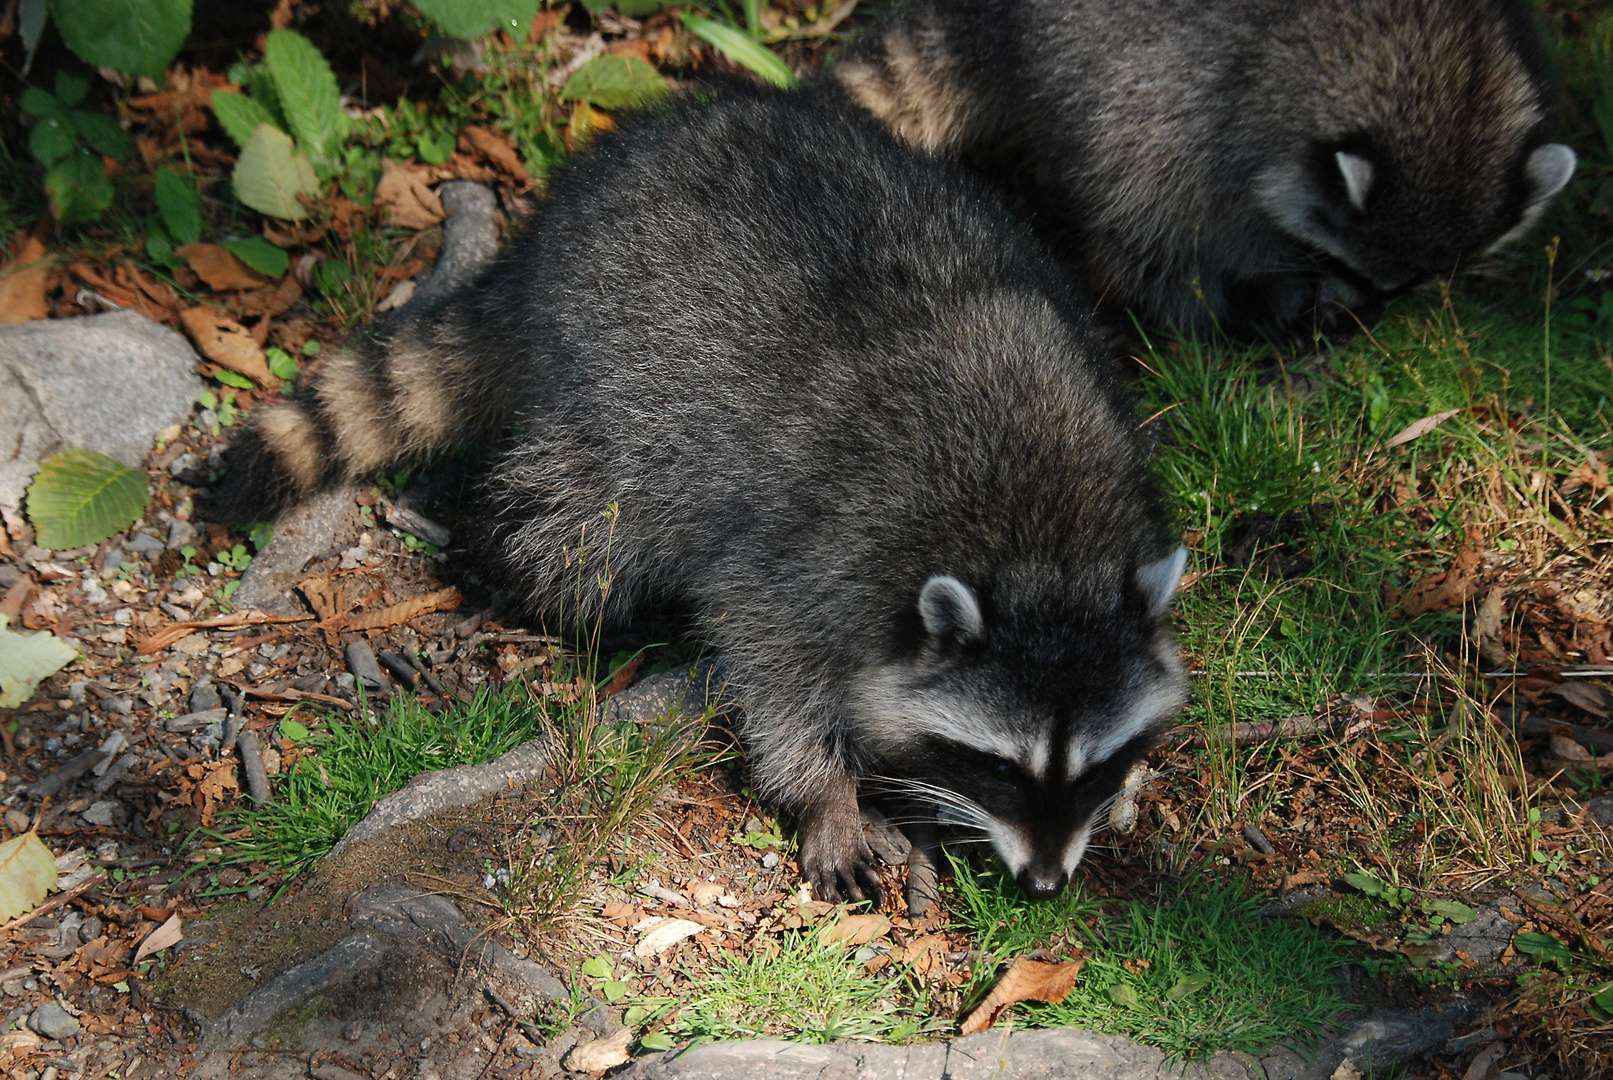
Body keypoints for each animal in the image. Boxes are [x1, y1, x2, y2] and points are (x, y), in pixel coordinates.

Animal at [220, 88, 1193, 909]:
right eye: (1001, 770)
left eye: (1094, 767)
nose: (1044, 886)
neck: (1041, 548)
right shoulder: (813, 545)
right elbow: (770, 664)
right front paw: (825, 794)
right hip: (611, 370)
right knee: (573, 532)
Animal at [838, 0, 1580, 343]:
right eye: (1343, 264)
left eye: (1406, 288)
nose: (1363, 313)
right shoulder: (1211, 104)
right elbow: (1186, 215)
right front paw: (1274, 290)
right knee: (1141, 215)